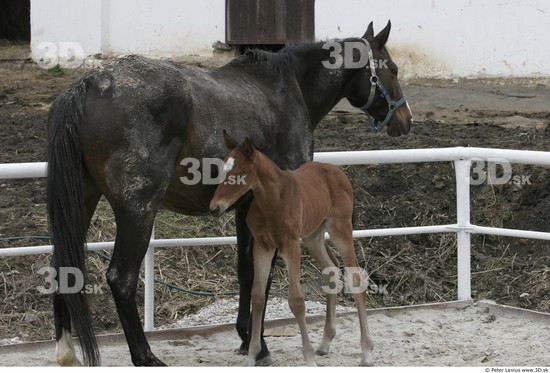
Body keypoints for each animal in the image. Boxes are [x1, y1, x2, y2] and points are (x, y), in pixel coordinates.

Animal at [211, 132, 376, 366]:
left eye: (240, 174)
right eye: (221, 171)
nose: (214, 208)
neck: (272, 200)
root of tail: (337, 171)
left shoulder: (290, 244)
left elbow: (296, 301)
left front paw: (308, 358)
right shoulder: (263, 246)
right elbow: (257, 297)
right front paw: (253, 356)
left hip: (340, 229)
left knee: (355, 279)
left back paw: (366, 352)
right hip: (312, 236)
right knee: (331, 269)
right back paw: (325, 343)